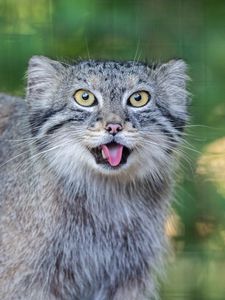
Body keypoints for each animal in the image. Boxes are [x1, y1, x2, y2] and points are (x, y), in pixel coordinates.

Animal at [0, 55, 189, 298]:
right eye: (84, 97)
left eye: (138, 98)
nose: (114, 126)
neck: (107, 196)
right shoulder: (26, 282)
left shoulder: (126, 278)